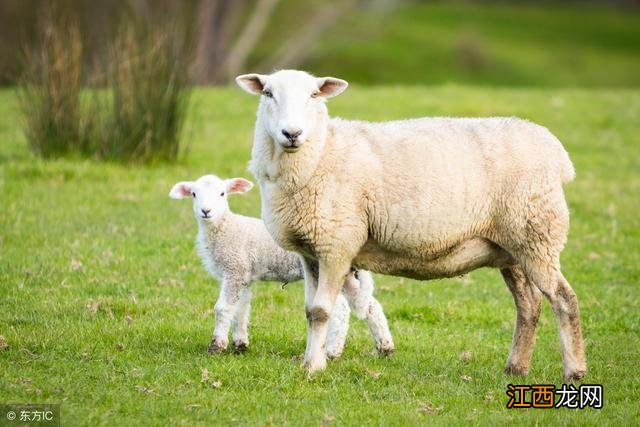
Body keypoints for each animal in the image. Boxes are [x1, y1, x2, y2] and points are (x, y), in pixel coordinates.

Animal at [168, 174, 392, 358]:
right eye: (194, 194)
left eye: (222, 193)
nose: (206, 211)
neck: (225, 228)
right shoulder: (244, 274)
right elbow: (241, 310)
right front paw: (240, 345)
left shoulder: (235, 268)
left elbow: (223, 308)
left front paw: (216, 347)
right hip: (349, 275)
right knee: (370, 306)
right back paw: (385, 347)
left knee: (341, 310)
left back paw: (332, 351)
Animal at [234, 70, 584, 382]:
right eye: (268, 93)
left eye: (314, 95)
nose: (291, 134)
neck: (321, 153)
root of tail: (557, 153)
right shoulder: (311, 253)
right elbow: (310, 310)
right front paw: (312, 360)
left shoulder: (337, 244)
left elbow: (321, 311)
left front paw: (312, 368)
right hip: (511, 246)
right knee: (529, 305)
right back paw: (516, 368)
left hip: (536, 233)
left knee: (563, 299)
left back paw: (575, 371)